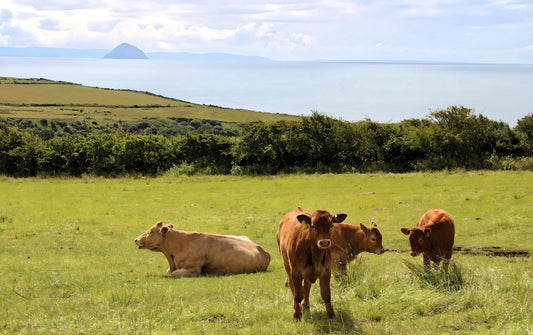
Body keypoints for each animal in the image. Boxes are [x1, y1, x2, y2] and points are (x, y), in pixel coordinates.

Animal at [133, 220, 270, 278]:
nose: (136, 239)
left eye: (151, 231)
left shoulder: (194, 269)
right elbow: (169, 271)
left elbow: (174, 273)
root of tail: (264, 251)